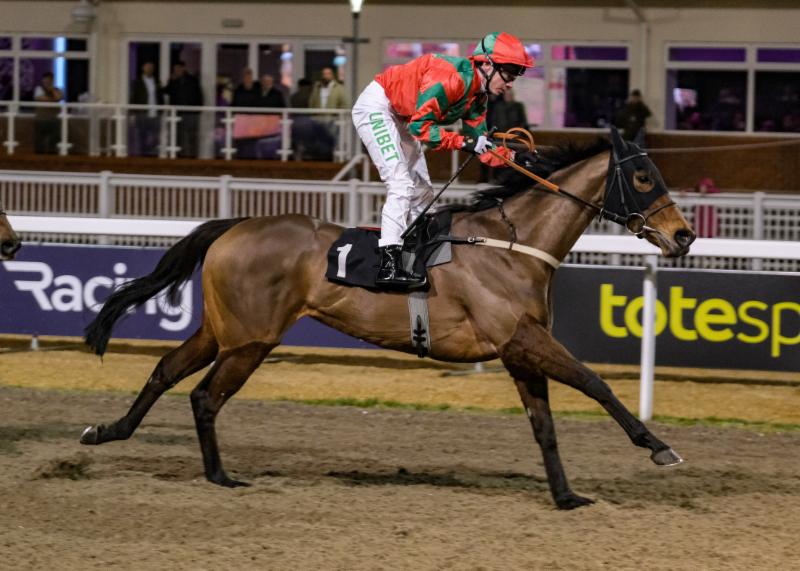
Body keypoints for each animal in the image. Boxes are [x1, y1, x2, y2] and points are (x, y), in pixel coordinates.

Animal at [81, 130, 692, 510]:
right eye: (643, 178)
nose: (683, 235)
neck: (512, 243)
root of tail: (236, 224)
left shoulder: (520, 349)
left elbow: (544, 426)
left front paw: (566, 496)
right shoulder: (523, 337)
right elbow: (595, 383)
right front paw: (658, 446)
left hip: (222, 331)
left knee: (167, 370)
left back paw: (107, 430)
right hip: (250, 339)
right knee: (205, 396)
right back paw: (220, 475)